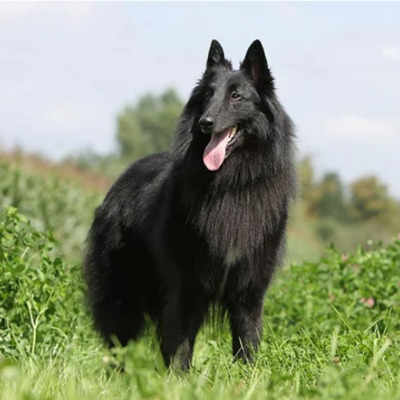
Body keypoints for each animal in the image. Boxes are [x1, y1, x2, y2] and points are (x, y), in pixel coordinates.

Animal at [84, 39, 296, 370]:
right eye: (208, 95)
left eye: (236, 96)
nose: (205, 122)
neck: (229, 186)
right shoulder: (187, 285)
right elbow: (181, 345)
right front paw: (179, 379)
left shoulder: (249, 289)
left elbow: (246, 342)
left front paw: (246, 378)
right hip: (124, 294)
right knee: (119, 342)